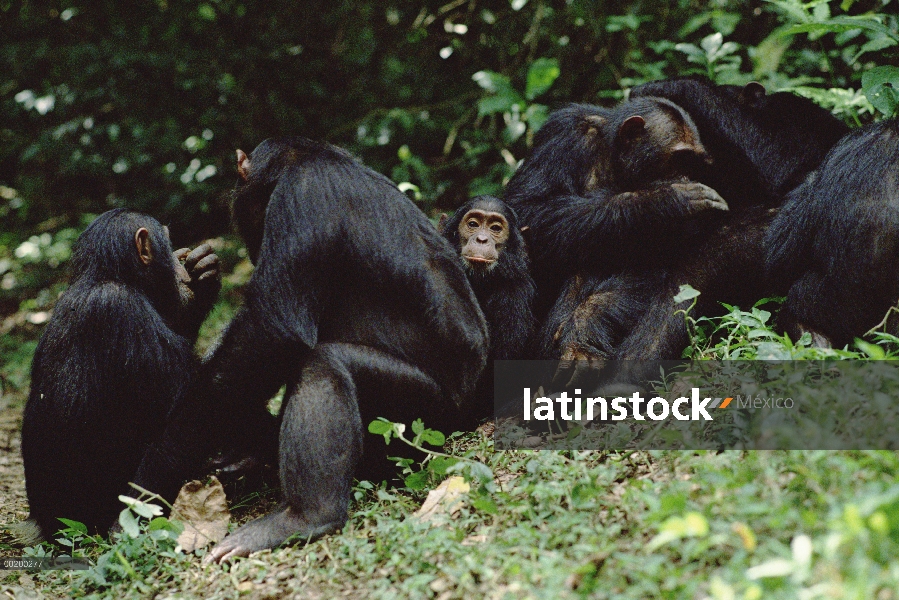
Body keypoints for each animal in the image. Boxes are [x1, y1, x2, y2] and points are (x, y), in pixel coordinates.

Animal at [20, 209, 221, 540]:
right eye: (167, 240)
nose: (179, 261)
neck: (107, 277)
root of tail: (42, 523)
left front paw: (203, 276)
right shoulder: (122, 311)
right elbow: (190, 394)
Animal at [184, 137, 488, 564]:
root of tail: (471, 418)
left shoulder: (302, 197)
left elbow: (273, 326)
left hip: (426, 419)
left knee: (324, 364)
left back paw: (305, 516)